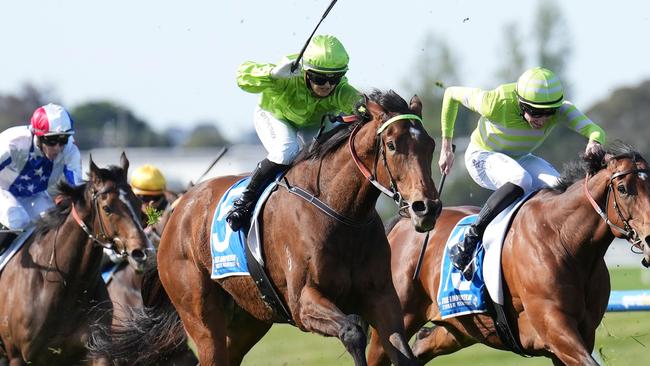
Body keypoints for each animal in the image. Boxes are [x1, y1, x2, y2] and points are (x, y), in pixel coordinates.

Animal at [90, 90, 440, 364]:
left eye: (431, 144)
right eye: (392, 145)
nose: (427, 207)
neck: (342, 214)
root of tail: (176, 214)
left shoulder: (382, 297)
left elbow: (402, 351)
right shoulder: (302, 303)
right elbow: (353, 330)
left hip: (249, 318)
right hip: (199, 314)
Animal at [368, 144, 648, 366]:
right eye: (623, 188)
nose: (648, 240)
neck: (564, 239)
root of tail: (406, 221)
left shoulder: (583, 333)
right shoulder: (555, 330)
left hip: (461, 326)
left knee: (421, 345)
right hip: (395, 320)